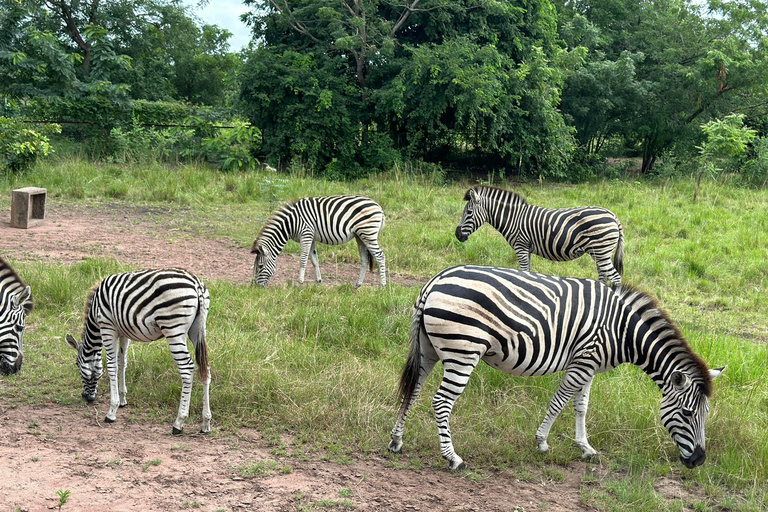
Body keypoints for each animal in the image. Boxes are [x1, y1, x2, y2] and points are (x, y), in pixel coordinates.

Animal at [64, 270, 210, 434]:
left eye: (77, 365)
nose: (86, 398)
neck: (95, 312)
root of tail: (196, 283)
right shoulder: (123, 332)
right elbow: (122, 363)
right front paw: (122, 400)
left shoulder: (107, 327)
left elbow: (112, 366)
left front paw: (112, 411)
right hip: (198, 329)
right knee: (205, 368)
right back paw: (206, 422)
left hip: (173, 328)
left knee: (187, 369)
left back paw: (179, 423)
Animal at [252, 195, 388, 286]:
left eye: (260, 266)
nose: (255, 287)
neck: (291, 223)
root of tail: (379, 207)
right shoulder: (311, 238)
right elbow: (314, 260)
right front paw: (318, 282)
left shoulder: (306, 234)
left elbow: (303, 260)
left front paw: (299, 282)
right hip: (360, 236)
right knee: (365, 259)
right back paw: (358, 285)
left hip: (368, 233)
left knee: (380, 256)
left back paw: (382, 286)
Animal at [390, 266, 728, 470]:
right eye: (687, 414)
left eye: (706, 414)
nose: (699, 460)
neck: (624, 331)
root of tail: (435, 281)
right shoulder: (583, 361)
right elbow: (560, 401)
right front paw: (542, 441)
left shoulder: (590, 366)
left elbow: (581, 406)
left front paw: (585, 447)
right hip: (464, 350)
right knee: (441, 402)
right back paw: (453, 458)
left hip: (429, 349)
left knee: (413, 391)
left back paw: (396, 441)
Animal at [456, 186, 624, 286]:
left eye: (468, 213)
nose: (457, 235)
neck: (513, 218)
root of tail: (613, 216)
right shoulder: (527, 249)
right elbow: (528, 271)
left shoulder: (521, 246)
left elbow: (524, 271)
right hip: (599, 253)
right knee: (604, 276)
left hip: (601, 251)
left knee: (616, 277)